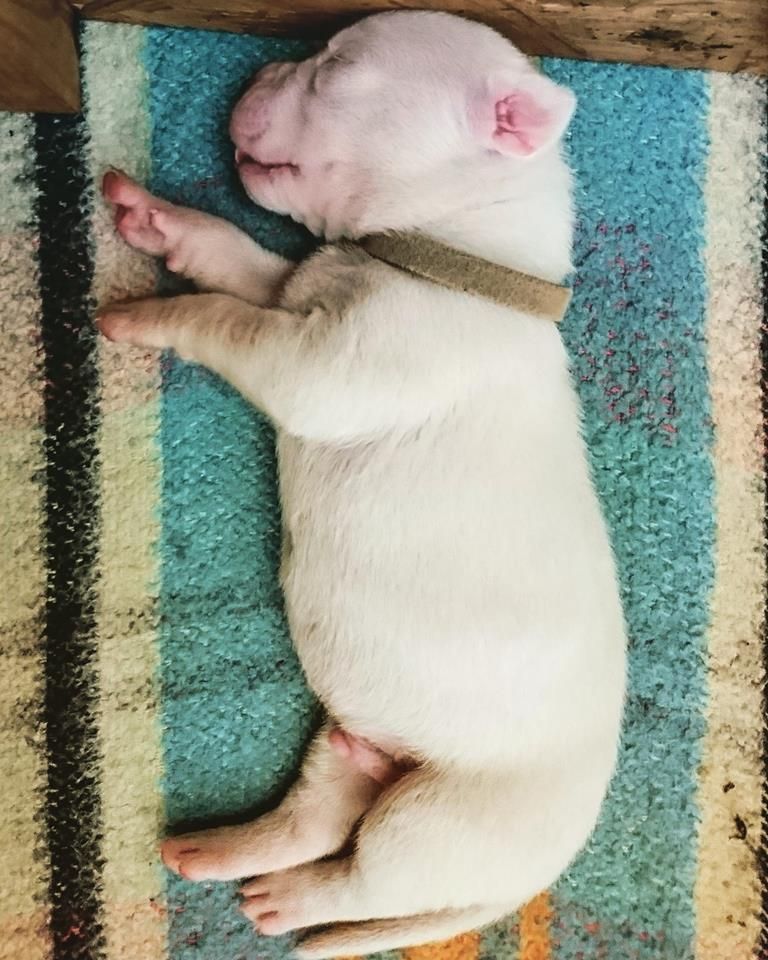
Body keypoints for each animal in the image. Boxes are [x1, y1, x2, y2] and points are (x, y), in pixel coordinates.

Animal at [98, 10, 626, 956]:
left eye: (337, 68)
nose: (257, 70)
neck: (448, 254)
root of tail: (537, 870)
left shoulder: (321, 365)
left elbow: (222, 314)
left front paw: (149, 315)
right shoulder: (295, 287)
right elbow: (237, 260)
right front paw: (159, 220)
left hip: (436, 822)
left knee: (357, 874)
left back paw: (286, 907)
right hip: (355, 740)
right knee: (318, 811)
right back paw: (215, 851)